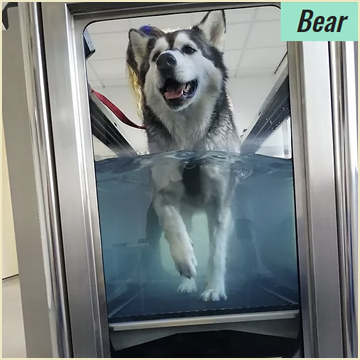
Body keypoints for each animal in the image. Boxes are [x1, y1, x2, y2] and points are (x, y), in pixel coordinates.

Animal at [128, 10, 240, 300]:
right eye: (155, 56)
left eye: (188, 49)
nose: (165, 61)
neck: (188, 139)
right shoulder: (162, 193)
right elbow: (172, 223)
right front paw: (185, 259)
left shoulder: (221, 205)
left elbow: (216, 252)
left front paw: (214, 288)